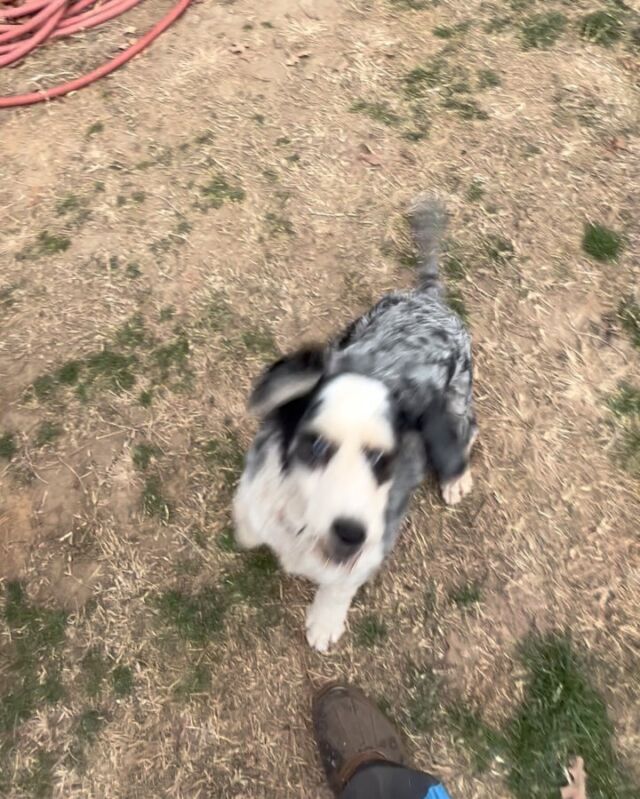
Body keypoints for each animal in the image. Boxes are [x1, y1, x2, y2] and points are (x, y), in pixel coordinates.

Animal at [232, 198, 478, 648]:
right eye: (315, 447)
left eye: (383, 460)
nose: (350, 532)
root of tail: (430, 298)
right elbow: (248, 517)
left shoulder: (373, 542)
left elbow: (339, 583)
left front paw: (324, 622)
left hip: (457, 393)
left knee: (467, 428)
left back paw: (457, 477)